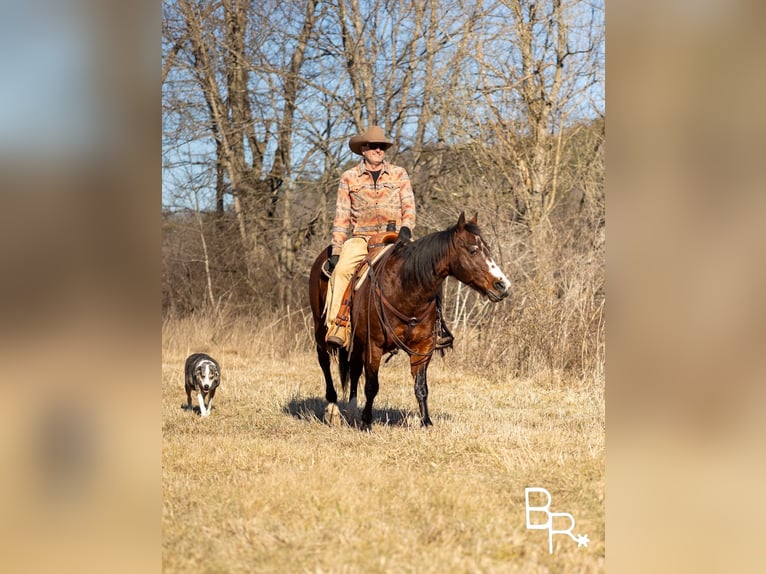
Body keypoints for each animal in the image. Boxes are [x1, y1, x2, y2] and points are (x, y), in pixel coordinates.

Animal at [308, 214, 512, 430]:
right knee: (325, 362)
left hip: (356, 339)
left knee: (354, 368)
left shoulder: (423, 347)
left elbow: (421, 387)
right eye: (473, 250)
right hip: (321, 331)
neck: (406, 289)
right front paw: (366, 423)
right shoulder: (374, 345)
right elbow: (372, 385)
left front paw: (426, 422)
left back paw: (351, 409)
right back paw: (332, 408)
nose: (503, 285)